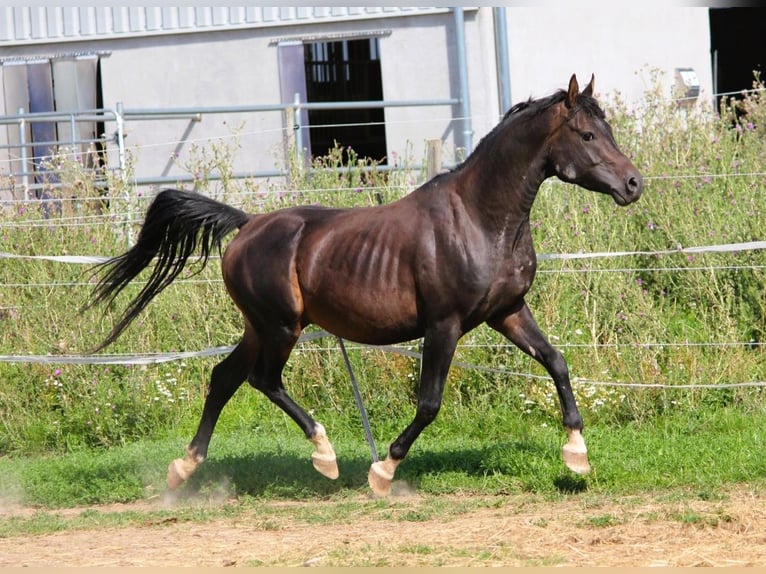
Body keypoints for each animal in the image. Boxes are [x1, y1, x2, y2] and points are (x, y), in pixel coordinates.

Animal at [88, 74, 643, 497]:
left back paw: (183, 469)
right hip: (281, 326)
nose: (634, 184)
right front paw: (384, 470)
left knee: (224, 378)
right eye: (587, 135)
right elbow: (430, 403)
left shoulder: (507, 311)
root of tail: (246, 225)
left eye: (608, 129)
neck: (480, 219)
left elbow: (556, 361)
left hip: (258, 327)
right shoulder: (444, 325)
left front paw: (576, 454)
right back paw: (325, 455)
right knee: (263, 381)